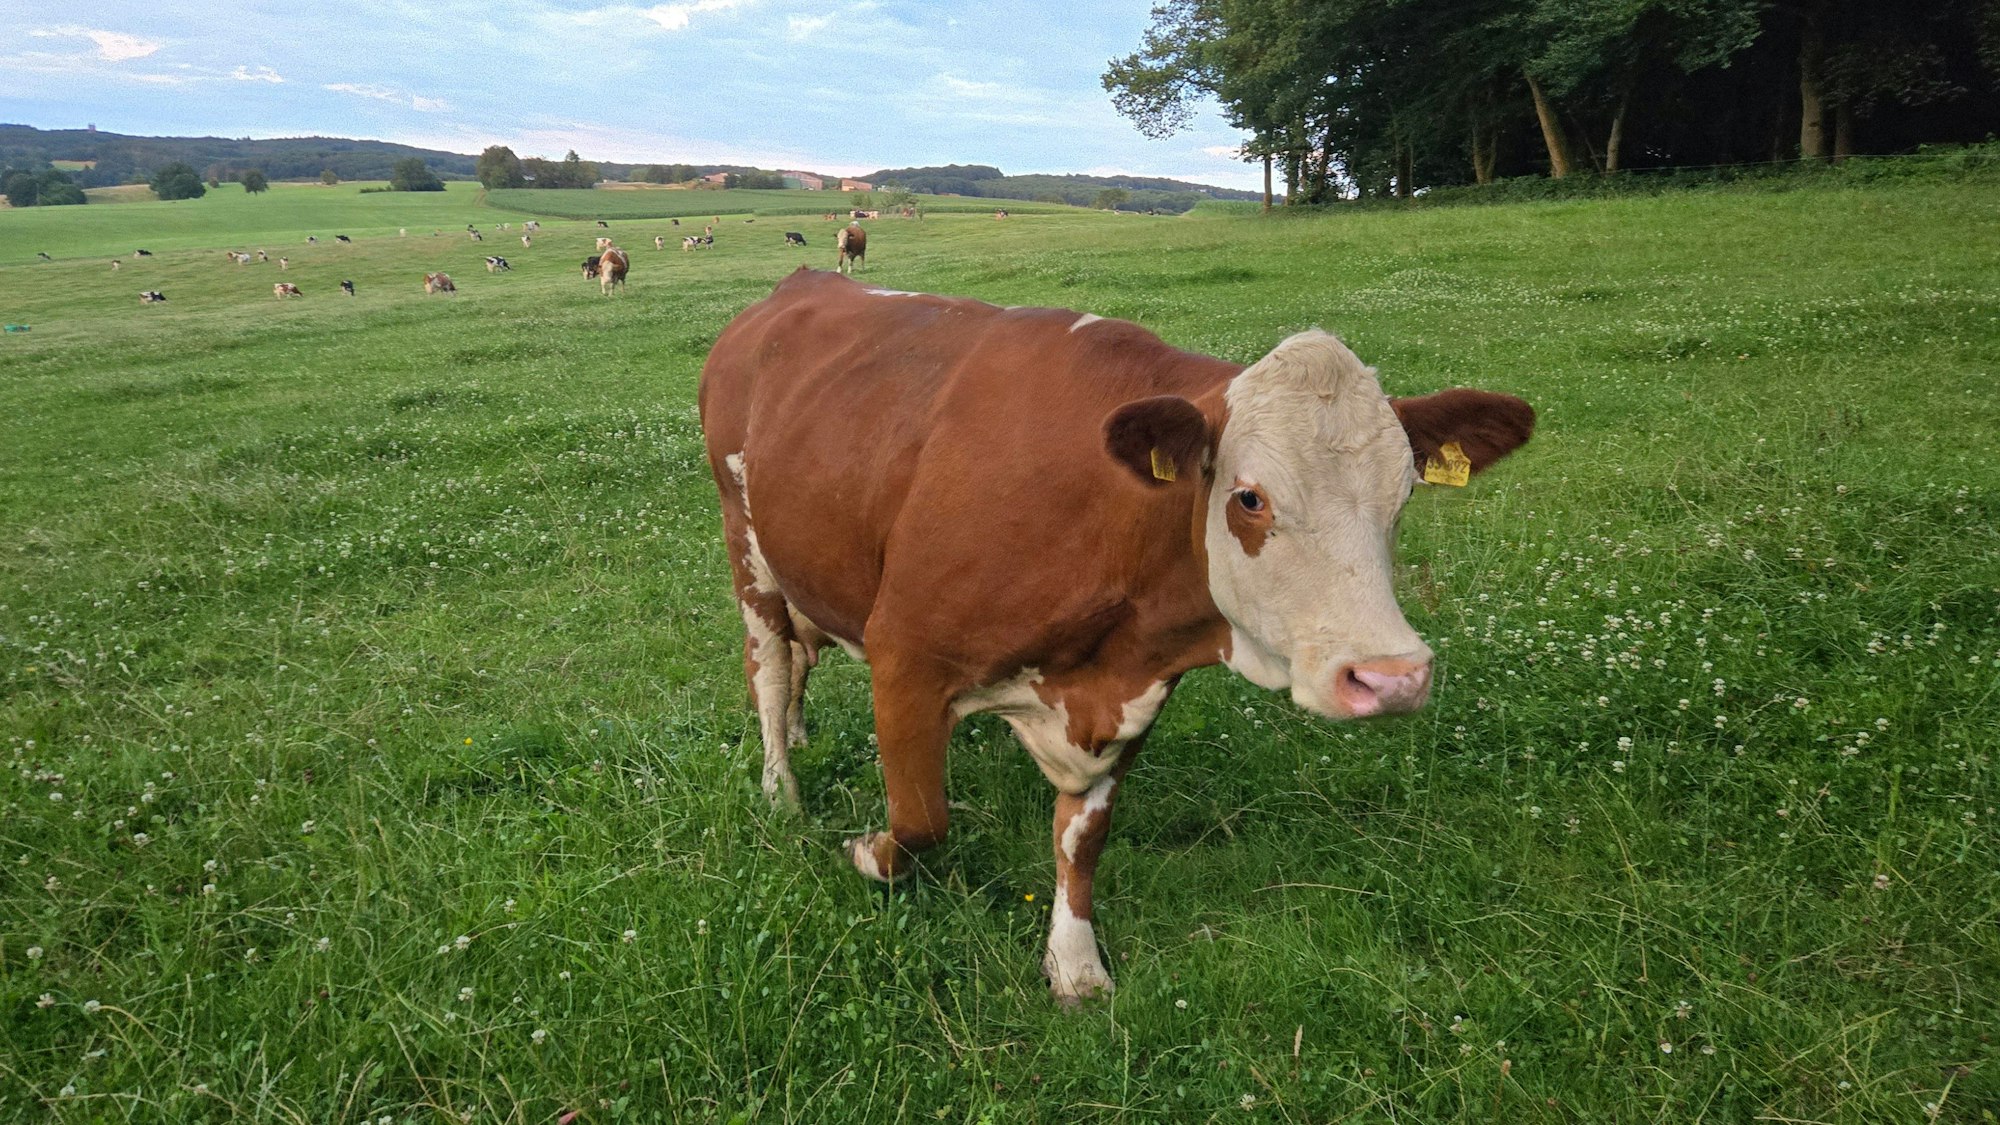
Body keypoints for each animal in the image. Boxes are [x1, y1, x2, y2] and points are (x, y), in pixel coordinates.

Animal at [697, 270, 1535, 1003]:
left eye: (1405, 493)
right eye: (1249, 497)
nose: (1391, 674)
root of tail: (801, 284)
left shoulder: (1132, 686)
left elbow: (1082, 839)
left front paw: (1074, 964)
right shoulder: (905, 655)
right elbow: (919, 821)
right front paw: (863, 852)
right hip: (747, 543)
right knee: (770, 666)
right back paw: (779, 786)